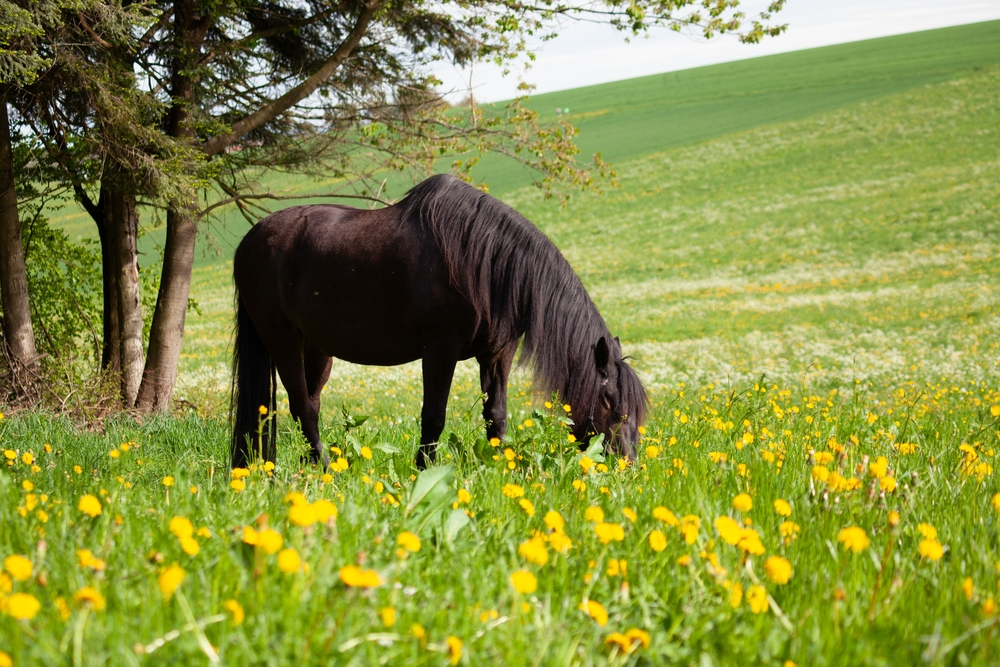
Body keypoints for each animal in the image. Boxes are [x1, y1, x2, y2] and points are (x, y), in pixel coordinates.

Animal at [230, 173, 646, 469]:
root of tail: (249, 241)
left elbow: (496, 416)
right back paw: (325, 468)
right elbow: (433, 417)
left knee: (310, 405)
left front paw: (498, 466)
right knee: (301, 406)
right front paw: (423, 471)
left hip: (317, 349)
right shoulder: (440, 350)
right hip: (282, 341)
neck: (484, 263)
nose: (627, 465)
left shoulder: (498, 354)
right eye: (611, 403)